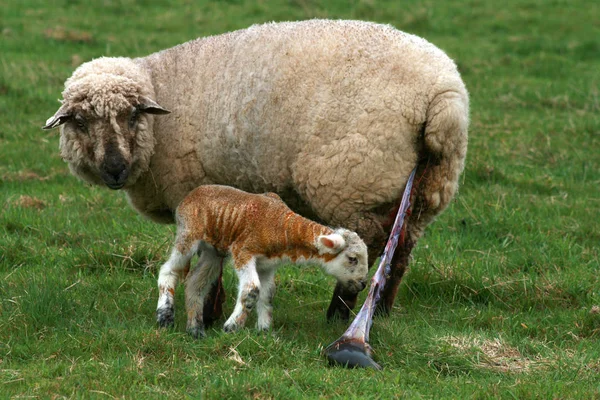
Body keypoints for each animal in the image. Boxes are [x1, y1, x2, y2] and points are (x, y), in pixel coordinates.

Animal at [157, 184, 368, 338]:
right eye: (352, 259)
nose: (363, 283)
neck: (281, 226)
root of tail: (189, 196)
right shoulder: (243, 251)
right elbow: (252, 289)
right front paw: (232, 328)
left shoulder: (267, 265)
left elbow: (267, 294)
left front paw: (264, 331)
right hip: (188, 234)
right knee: (168, 270)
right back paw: (165, 316)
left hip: (213, 252)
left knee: (195, 282)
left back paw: (195, 330)